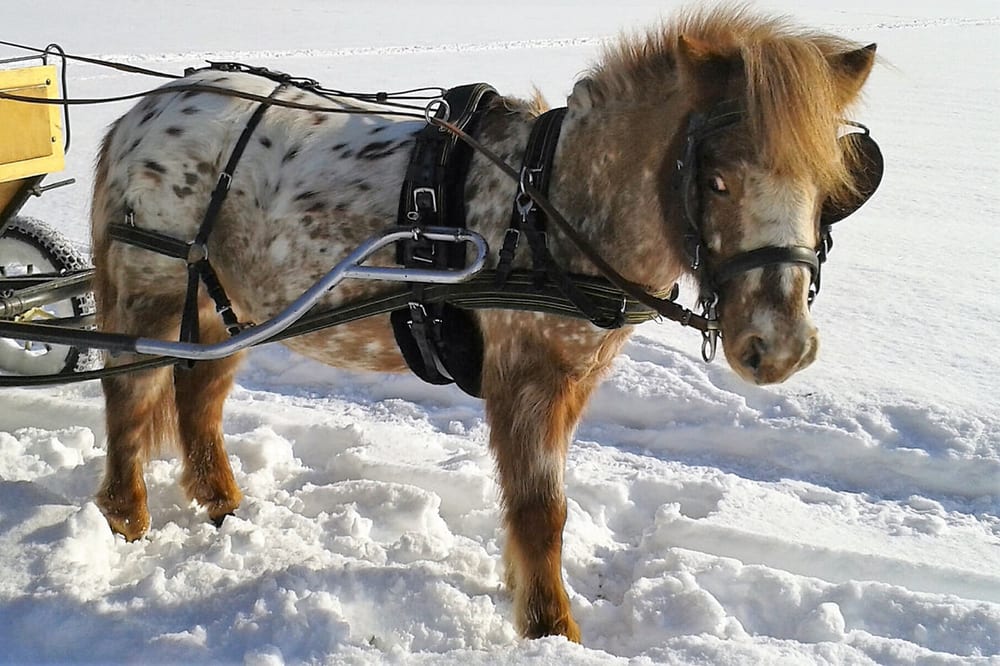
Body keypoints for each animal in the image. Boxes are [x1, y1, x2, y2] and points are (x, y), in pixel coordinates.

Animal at [90, 6, 877, 642]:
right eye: (716, 180)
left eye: (832, 184)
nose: (780, 346)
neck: (552, 202)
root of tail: (143, 111)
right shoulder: (526, 376)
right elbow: (540, 510)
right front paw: (551, 629)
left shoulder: (574, 377)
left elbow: (537, 511)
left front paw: (525, 593)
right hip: (152, 293)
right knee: (128, 398)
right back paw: (126, 519)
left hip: (231, 308)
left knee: (197, 397)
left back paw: (222, 504)